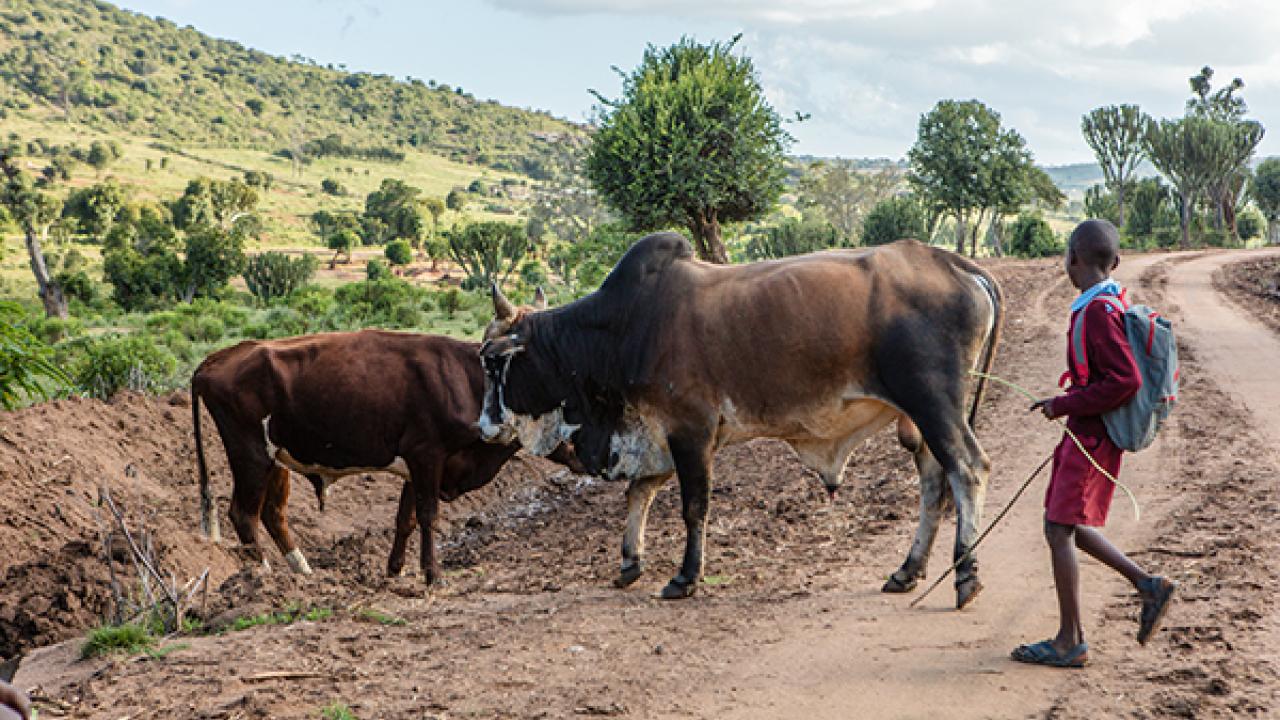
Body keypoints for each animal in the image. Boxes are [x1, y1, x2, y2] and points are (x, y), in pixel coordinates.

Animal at [192, 322, 578, 579]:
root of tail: (217, 358)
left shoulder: (417, 465)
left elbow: (405, 519)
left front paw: (394, 571)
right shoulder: (427, 455)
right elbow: (428, 515)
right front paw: (432, 574)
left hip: (278, 458)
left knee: (273, 513)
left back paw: (304, 574)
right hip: (251, 454)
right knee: (244, 514)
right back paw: (266, 576)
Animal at [478, 234, 998, 604]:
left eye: (492, 361)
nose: (483, 428)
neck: (624, 327)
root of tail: (957, 265)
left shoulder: (690, 429)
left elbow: (693, 507)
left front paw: (685, 578)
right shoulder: (659, 433)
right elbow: (639, 492)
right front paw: (630, 563)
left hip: (934, 404)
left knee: (968, 470)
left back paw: (966, 576)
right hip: (921, 417)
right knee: (934, 481)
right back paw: (907, 572)